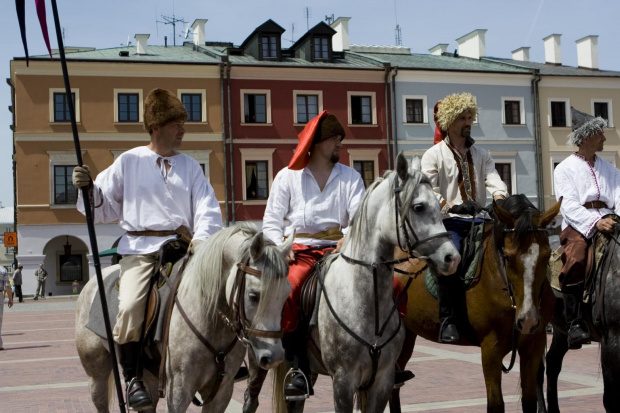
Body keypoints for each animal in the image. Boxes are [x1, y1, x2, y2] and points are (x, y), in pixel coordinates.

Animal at [75, 224, 294, 410]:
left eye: (286, 294)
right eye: (253, 295)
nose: (274, 357)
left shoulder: (221, 391)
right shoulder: (179, 389)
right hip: (96, 372)